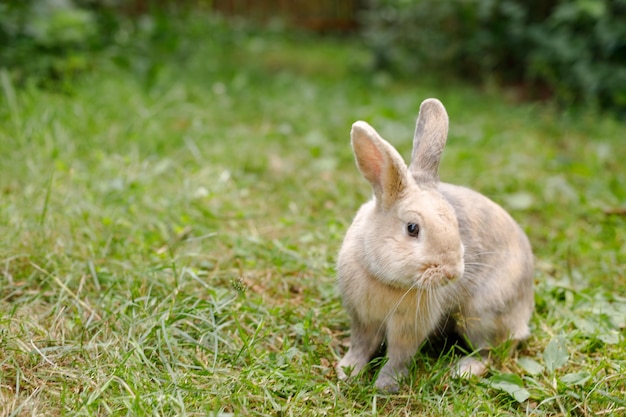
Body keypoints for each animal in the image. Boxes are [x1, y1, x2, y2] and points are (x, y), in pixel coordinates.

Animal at [334, 96, 532, 390]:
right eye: (412, 228)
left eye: (455, 222)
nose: (453, 273)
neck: (388, 282)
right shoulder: (362, 318)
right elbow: (361, 345)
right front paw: (347, 371)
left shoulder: (409, 328)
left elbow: (399, 356)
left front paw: (385, 385)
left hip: (481, 315)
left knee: (489, 353)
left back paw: (462, 370)